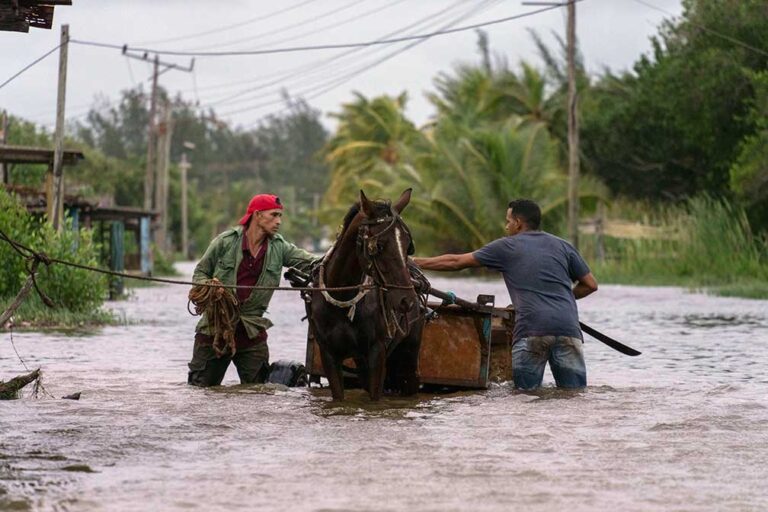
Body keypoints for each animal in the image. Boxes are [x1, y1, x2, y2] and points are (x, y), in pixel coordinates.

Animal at [308, 190, 424, 402]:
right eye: (379, 246)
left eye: (407, 246)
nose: (407, 300)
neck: (343, 296)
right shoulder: (328, 354)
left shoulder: (377, 352)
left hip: (410, 352)